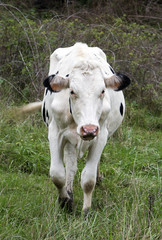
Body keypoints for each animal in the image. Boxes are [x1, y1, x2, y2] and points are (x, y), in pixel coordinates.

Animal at [21, 41, 130, 216]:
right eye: (72, 91)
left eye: (102, 91)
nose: (89, 129)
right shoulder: (55, 133)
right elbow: (57, 173)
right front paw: (65, 200)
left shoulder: (100, 135)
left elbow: (88, 179)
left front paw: (86, 211)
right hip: (69, 141)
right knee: (71, 167)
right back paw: (69, 191)